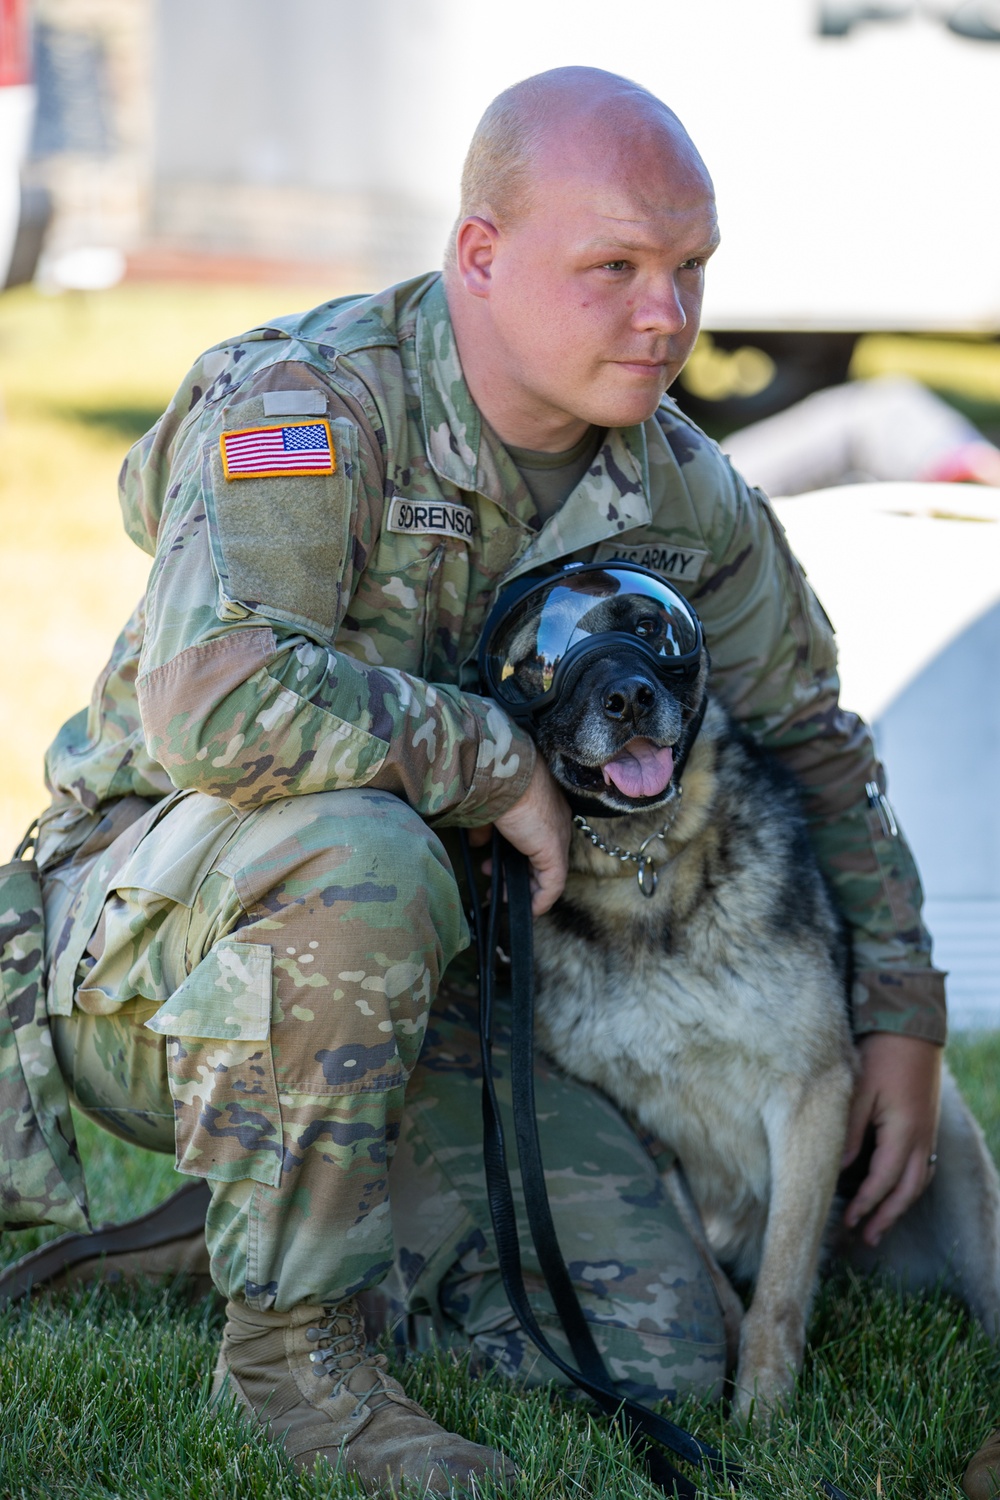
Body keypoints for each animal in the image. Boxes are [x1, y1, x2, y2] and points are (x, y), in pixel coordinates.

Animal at [515, 588, 1000, 1416]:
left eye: (649, 626)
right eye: (543, 656)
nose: (631, 697)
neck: (645, 871)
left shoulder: (810, 1096)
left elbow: (778, 1285)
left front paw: (764, 1417)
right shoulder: (646, 1129)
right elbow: (716, 1288)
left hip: (960, 1163)